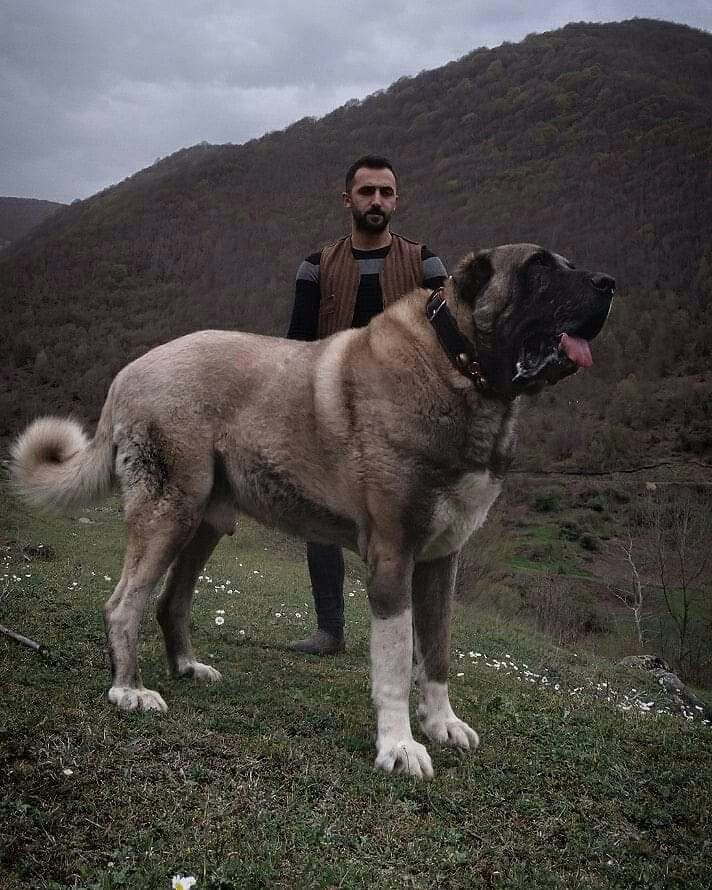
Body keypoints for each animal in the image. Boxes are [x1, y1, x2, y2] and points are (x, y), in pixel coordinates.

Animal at [9, 245, 612, 776]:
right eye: (538, 269)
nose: (608, 285)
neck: (461, 370)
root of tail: (127, 373)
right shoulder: (393, 559)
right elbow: (396, 660)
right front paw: (399, 746)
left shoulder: (442, 561)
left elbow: (437, 651)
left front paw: (441, 723)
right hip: (168, 512)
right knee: (122, 605)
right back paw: (128, 690)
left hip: (205, 521)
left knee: (170, 601)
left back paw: (186, 667)